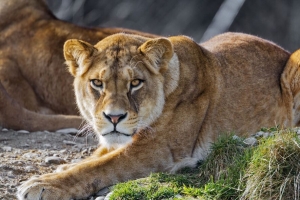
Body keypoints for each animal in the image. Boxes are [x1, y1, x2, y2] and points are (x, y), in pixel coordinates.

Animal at [17, 32, 300, 199]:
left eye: (135, 83)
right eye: (97, 83)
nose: (114, 118)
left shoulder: (159, 150)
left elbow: (99, 167)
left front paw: (43, 185)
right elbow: (94, 157)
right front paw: (62, 168)